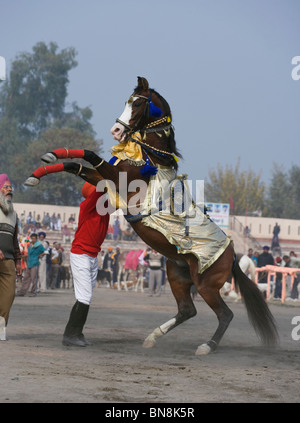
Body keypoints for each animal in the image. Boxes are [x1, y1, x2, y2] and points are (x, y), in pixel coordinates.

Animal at [24, 76, 278, 354]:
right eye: (127, 100)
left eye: (137, 103)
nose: (116, 131)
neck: (152, 159)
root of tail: (233, 256)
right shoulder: (107, 181)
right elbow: (76, 164)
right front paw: (42, 167)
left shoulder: (117, 180)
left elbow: (91, 156)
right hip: (177, 274)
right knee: (187, 310)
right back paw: (152, 337)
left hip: (206, 285)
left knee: (225, 315)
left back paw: (207, 346)